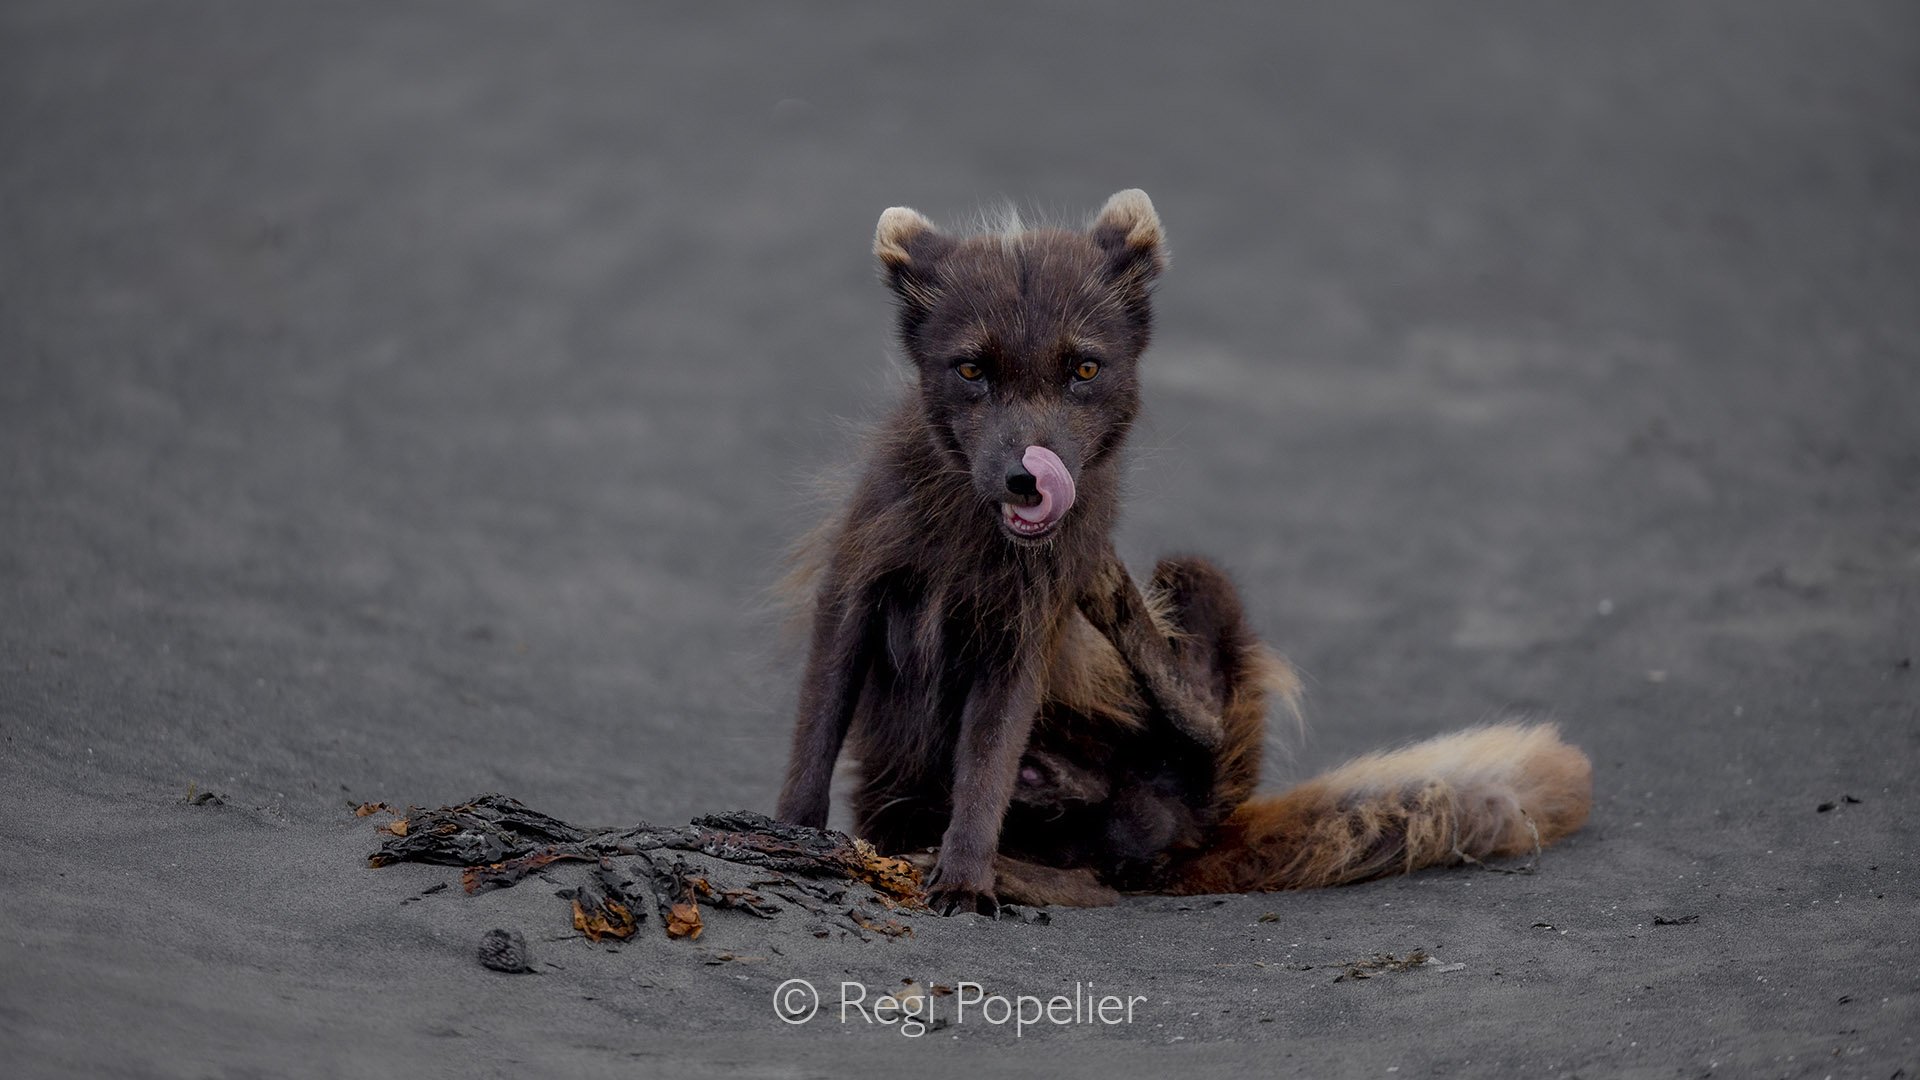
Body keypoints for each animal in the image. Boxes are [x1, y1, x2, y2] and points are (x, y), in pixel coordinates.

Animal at [774, 189, 1592, 912]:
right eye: (972, 370)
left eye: (1084, 369)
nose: (1027, 480)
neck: (969, 537)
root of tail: (1202, 831)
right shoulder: (855, 583)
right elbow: (818, 720)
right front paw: (791, 834)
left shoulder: (1025, 626)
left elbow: (989, 758)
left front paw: (967, 876)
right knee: (1097, 870)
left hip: (1193, 593)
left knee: (1137, 827)